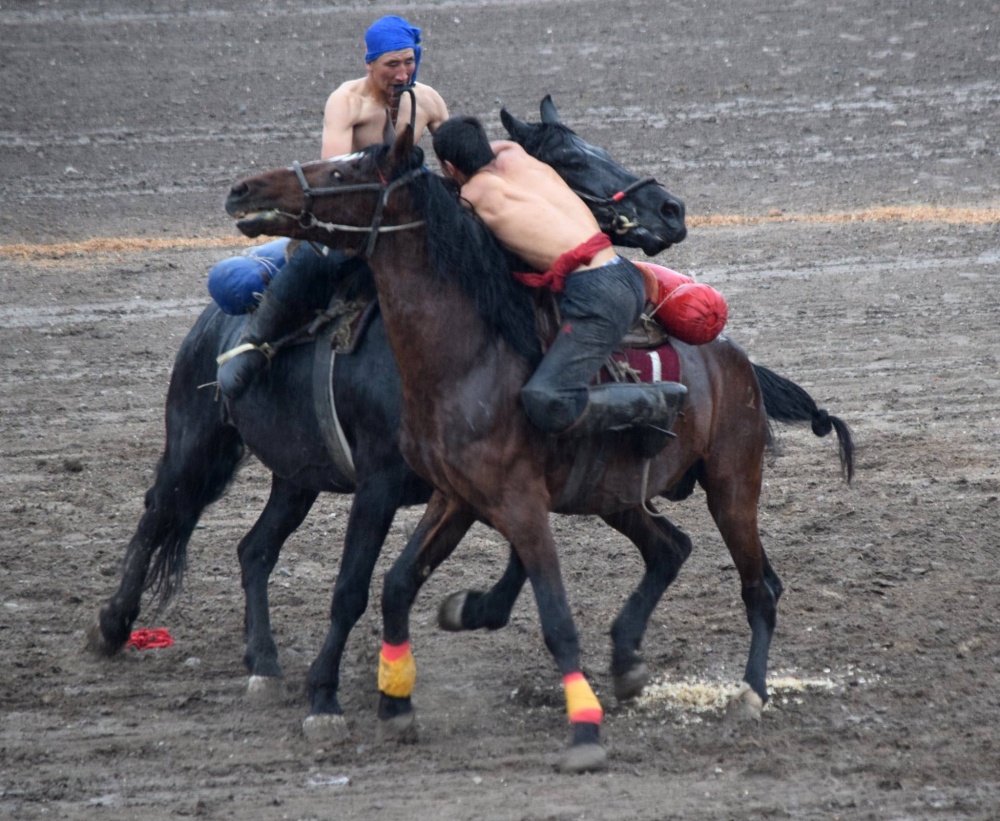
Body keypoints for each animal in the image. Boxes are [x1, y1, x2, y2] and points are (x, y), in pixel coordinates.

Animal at [86, 99, 852, 740]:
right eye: (571, 157)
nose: (671, 208)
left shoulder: (469, 485)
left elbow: (398, 579)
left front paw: (353, 683)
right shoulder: (395, 483)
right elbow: (362, 586)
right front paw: (341, 692)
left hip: (308, 477)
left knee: (252, 548)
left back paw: (262, 662)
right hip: (200, 440)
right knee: (163, 513)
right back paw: (117, 626)